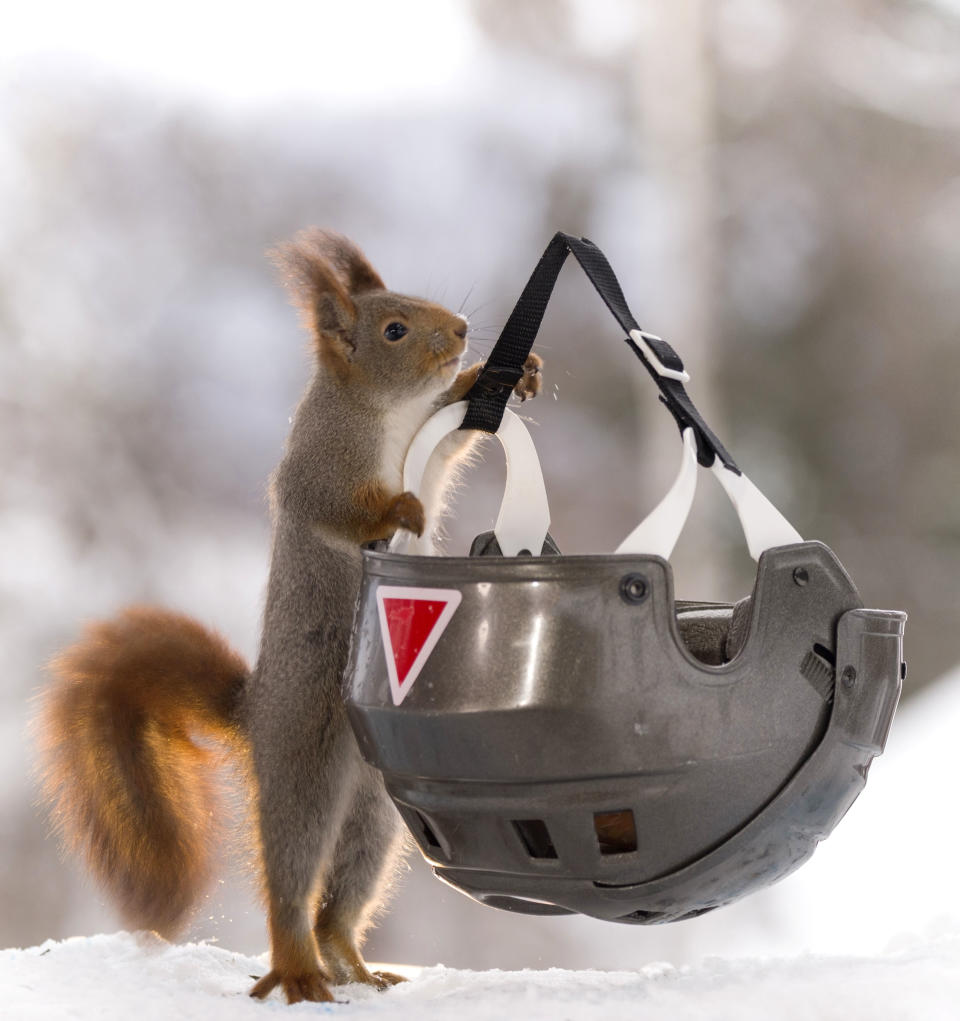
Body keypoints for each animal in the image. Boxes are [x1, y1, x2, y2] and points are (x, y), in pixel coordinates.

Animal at [33, 231, 543, 1004]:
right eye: (394, 330)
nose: (459, 329)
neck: (387, 414)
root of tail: (256, 713)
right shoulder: (318, 470)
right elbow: (342, 511)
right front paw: (399, 509)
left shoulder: (432, 445)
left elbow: (456, 443)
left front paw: (510, 375)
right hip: (304, 754)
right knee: (291, 878)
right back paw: (299, 971)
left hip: (375, 808)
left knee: (340, 896)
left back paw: (355, 967)